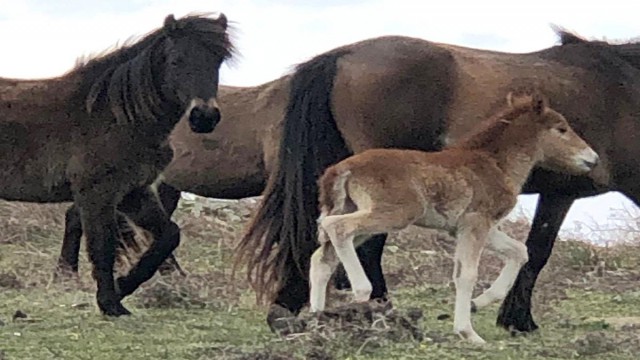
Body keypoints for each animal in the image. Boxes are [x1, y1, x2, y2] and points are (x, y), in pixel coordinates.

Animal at [0, 12, 235, 316]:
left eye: (218, 60)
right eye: (176, 60)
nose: (204, 117)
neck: (114, 116)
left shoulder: (133, 191)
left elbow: (169, 235)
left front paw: (124, 286)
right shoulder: (98, 193)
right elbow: (104, 246)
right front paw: (111, 304)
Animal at [310, 92, 600, 344]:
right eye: (561, 129)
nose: (593, 159)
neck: (495, 163)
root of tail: (341, 169)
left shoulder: (468, 226)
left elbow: (519, 251)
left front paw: (477, 303)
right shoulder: (476, 222)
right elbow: (467, 274)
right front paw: (468, 333)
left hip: (357, 213)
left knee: (322, 258)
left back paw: (316, 321)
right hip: (394, 213)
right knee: (337, 228)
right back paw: (361, 292)